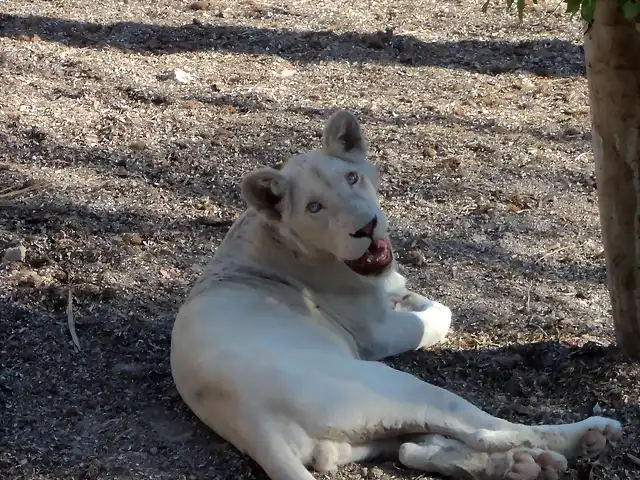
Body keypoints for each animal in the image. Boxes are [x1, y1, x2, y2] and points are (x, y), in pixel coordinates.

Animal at [172, 110, 624, 478]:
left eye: (352, 178)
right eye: (314, 208)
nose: (366, 226)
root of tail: (253, 421)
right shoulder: (378, 333)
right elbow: (438, 316)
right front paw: (419, 301)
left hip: (355, 438)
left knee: (414, 448)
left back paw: (524, 465)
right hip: (392, 388)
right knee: (485, 430)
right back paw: (586, 436)